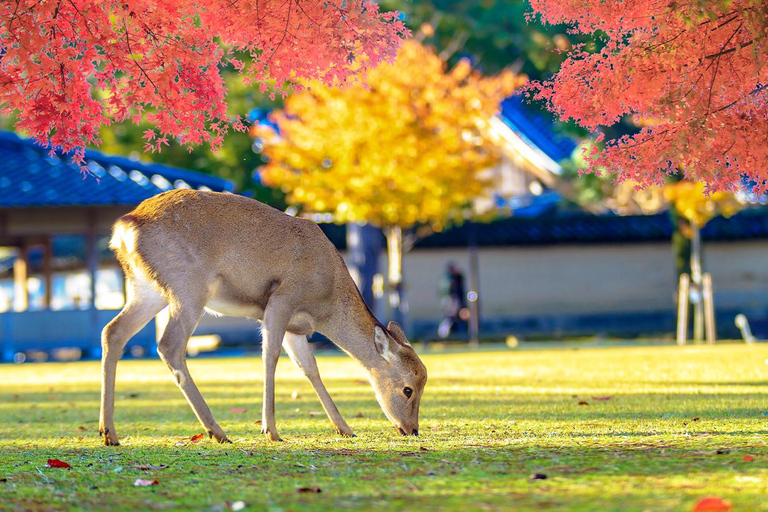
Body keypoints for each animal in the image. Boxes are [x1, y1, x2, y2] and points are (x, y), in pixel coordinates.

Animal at [97, 188, 426, 444]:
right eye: (408, 389)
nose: (412, 430)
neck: (325, 304)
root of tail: (125, 226)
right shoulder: (281, 300)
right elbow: (270, 357)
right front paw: (271, 431)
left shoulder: (297, 328)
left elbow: (310, 369)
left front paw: (344, 428)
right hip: (188, 287)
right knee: (169, 345)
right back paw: (217, 431)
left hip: (146, 289)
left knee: (112, 331)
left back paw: (109, 433)